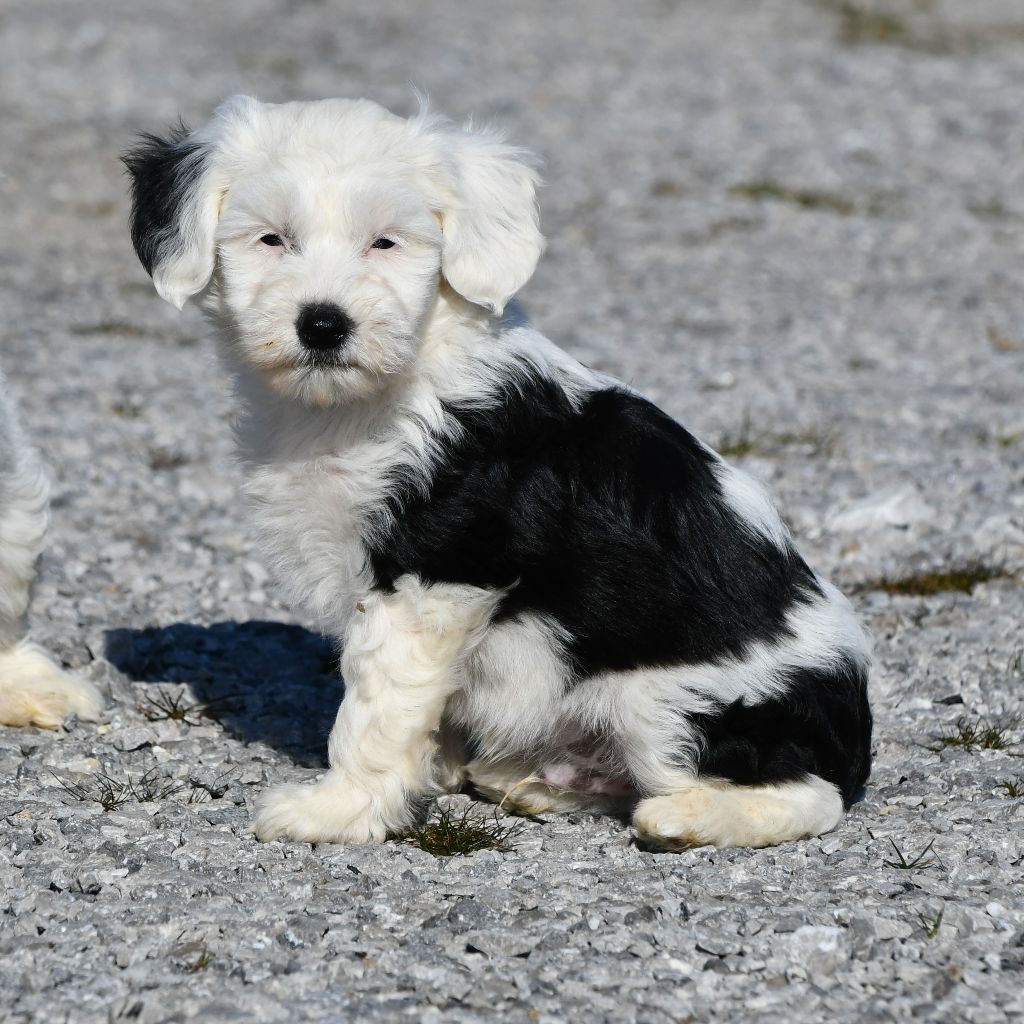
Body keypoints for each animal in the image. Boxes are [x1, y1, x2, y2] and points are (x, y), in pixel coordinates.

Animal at [121, 97, 872, 847]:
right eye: (272, 240)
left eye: (386, 244)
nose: (324, 325)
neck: (374, 397)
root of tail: (855, 734)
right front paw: (427, 773)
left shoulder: (430, 577)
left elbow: (375, 709)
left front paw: (339, 810)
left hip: (673, 701)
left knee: (807, 792)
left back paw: (683, 815)